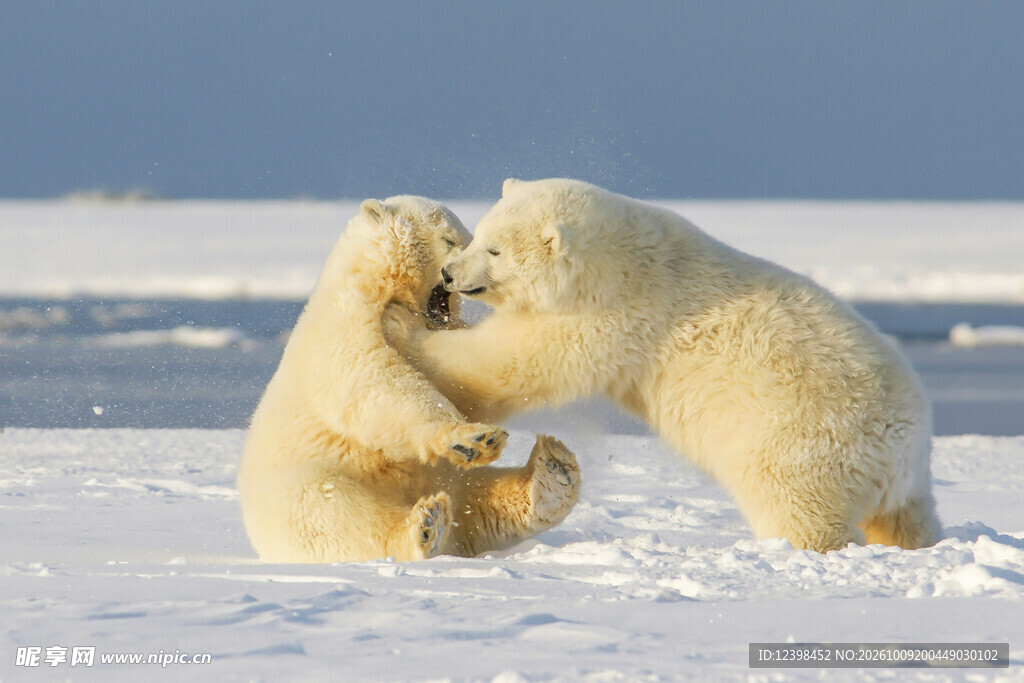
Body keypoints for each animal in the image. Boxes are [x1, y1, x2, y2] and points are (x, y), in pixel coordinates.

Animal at [237, 195, 581, 563]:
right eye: (450, 239)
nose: (457, 274)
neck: (375, 286)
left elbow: (465, 379)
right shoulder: (343, 326)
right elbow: (375, 382)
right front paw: (474, 437)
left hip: (447, 479)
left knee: (478, 499)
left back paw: (551, 474)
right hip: (310, 484)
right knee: (336, 516)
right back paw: (426, 527)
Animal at [384, 178, 941, 553]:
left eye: (496, 249)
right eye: (476, 234)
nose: (449, 273)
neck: (619, 261)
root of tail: (904, 443)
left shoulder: (613, 315)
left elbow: (510, 360)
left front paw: (398, 324)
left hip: (800, 444)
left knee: (800, 511)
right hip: (894, 480)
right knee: (906, 517)